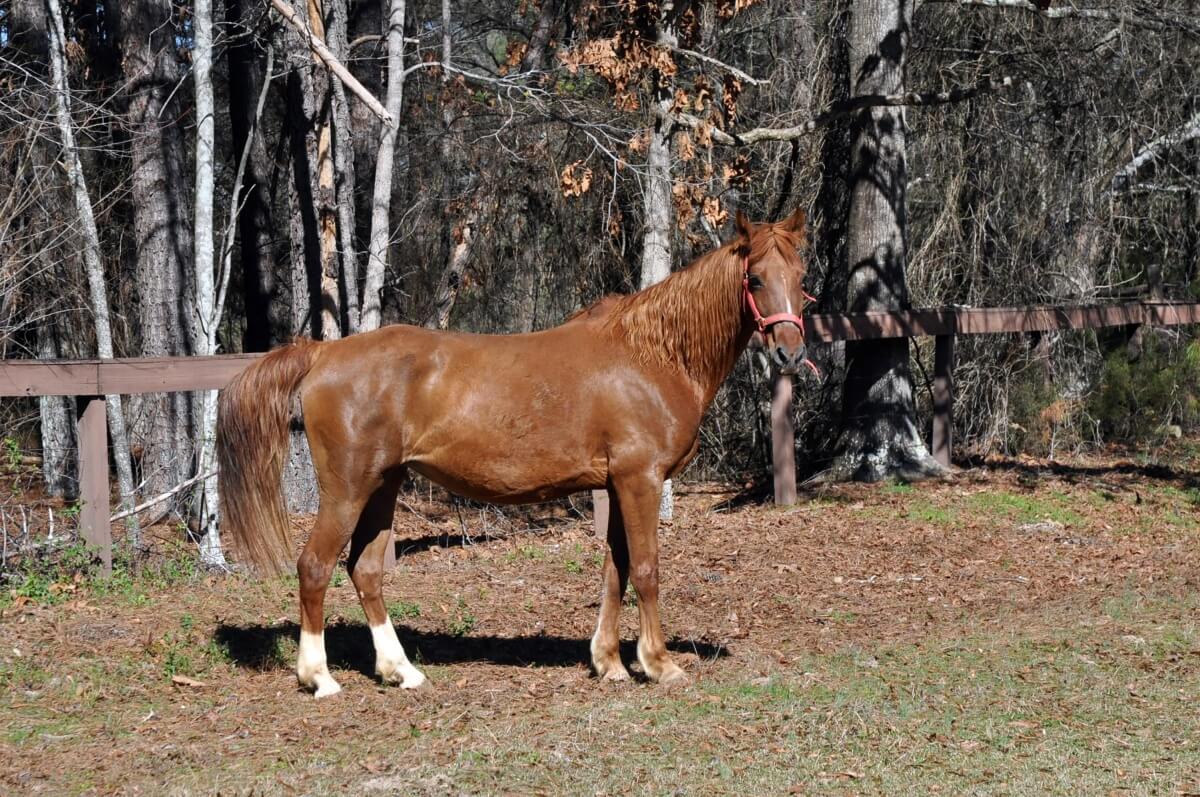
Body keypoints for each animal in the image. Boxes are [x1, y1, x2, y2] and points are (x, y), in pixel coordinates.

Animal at [216, 209, 813, 697]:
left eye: (800, 278)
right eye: (755, 278)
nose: (790, 351)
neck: (653, 354)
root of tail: (323, 353)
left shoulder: (616, 484)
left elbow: (614, 570)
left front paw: (609, 663)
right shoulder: (639, 480)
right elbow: (644, 569)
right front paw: (658, 664)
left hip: (384, 485)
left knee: (364, 570)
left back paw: (400, 670)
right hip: (347, 488)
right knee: (314, 566)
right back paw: (318, 677)